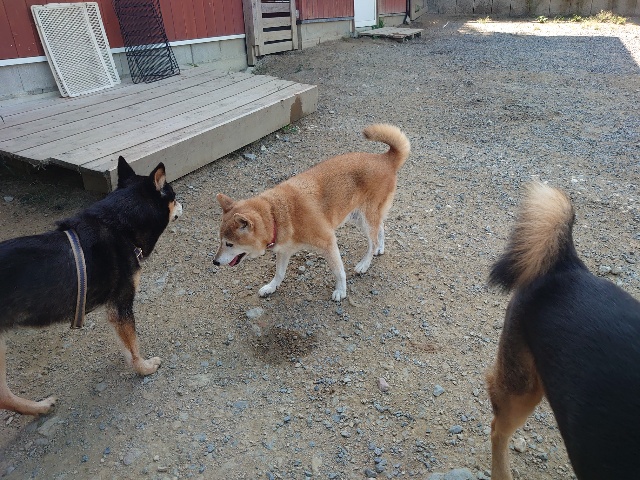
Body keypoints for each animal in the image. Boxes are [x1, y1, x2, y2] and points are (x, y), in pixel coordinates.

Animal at [0, 157, 182, 416]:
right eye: (173, 196)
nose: (183, 204)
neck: (120, 227)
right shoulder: (121, 304)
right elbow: (134, 345)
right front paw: (144, 368)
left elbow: (126, 343)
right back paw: (40, 407)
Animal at [213, 124, 410, 301]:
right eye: (220, 241)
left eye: (229, 244)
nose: (215, 262)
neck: (276, 214)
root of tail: (385, 159)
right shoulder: (284, 250)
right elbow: (279, 273)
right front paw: (271, 287)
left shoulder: (328, 242)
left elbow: (339, 271)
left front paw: (341, 291)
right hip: (360, 217)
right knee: (381, 228)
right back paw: (380, 248)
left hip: (366, 218)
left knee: (372, 241)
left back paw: (364, 264)